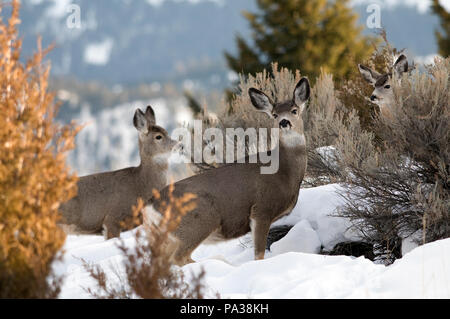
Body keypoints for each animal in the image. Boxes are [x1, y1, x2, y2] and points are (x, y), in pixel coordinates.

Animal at [146, 77, 312, 264]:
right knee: (180, 257)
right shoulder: (261, 209)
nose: (284, 122)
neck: (284, 172)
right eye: (275, 114)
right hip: (197, 221)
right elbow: (259, 255)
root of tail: (151, 206)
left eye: (294, 110)